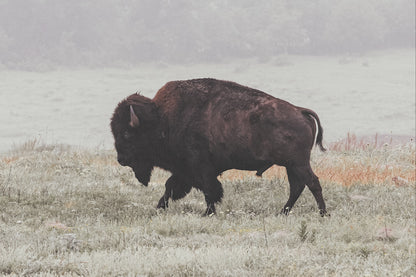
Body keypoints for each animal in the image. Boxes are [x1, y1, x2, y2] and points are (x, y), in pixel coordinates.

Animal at [110, 77, 328, 216]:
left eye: (127, 133)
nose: (121, 159)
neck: (162, 119)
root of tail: (300, 111)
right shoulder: (184, 170)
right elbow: (171, 187)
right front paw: (159, 208)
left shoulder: (199, 168)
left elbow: (210, 190)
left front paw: (207, 213)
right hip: (291, 165)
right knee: (297, 187)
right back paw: (282, 213)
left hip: (298, 163)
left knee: (312, 183)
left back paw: (323, 214)